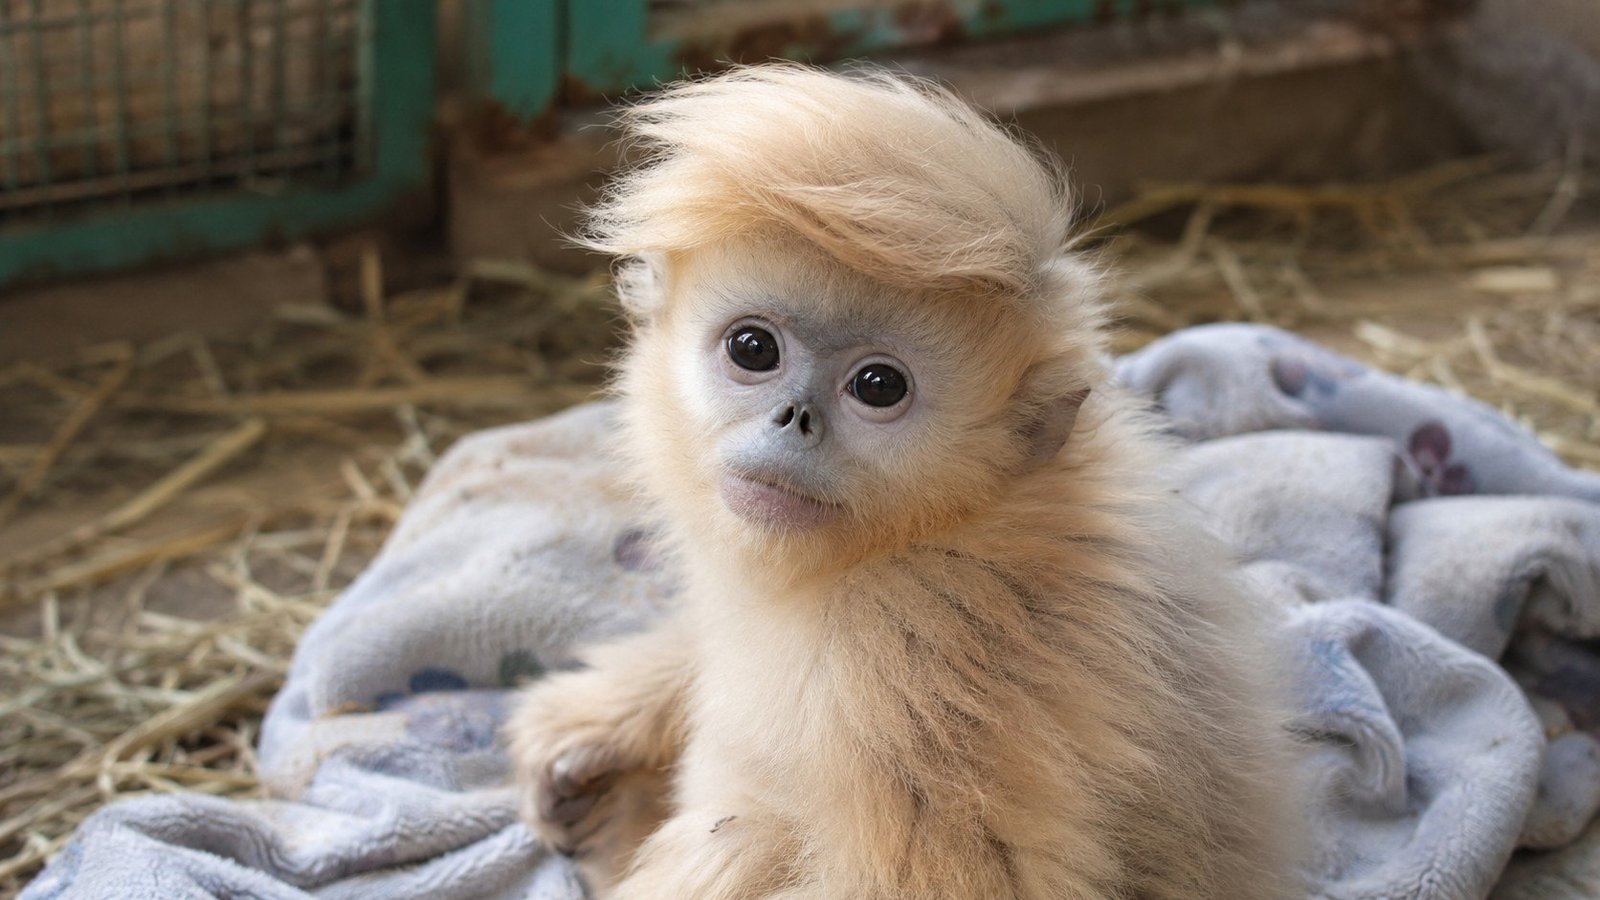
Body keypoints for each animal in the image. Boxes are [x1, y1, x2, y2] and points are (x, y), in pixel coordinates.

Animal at [506, 64, 1301, 899]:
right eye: (754, 348)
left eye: (879, 386)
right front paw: (585, 724)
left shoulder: (909, 664)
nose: (794, 419)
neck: (942, 528)